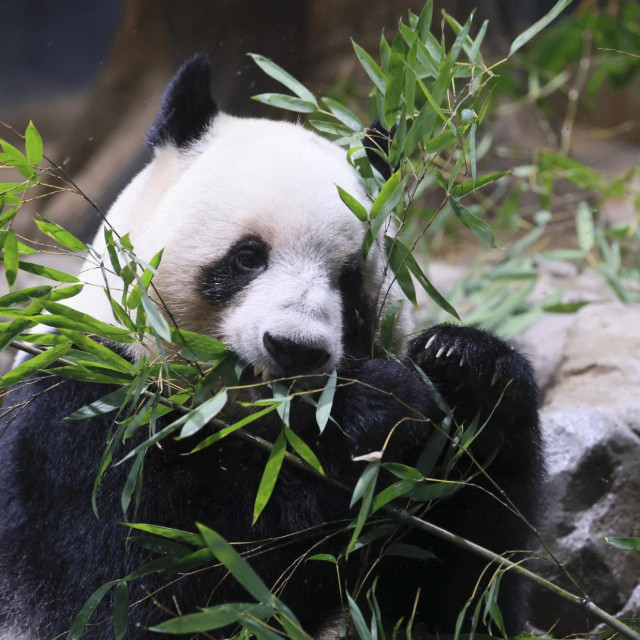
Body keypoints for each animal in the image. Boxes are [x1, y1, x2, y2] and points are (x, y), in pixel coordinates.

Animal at [0, 55, 544, 639]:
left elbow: (453, 587)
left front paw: (469, 369)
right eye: (248, 257)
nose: (294, 348)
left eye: (350, 280)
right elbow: (161, 577)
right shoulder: (82, 416)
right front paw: (371, 408)